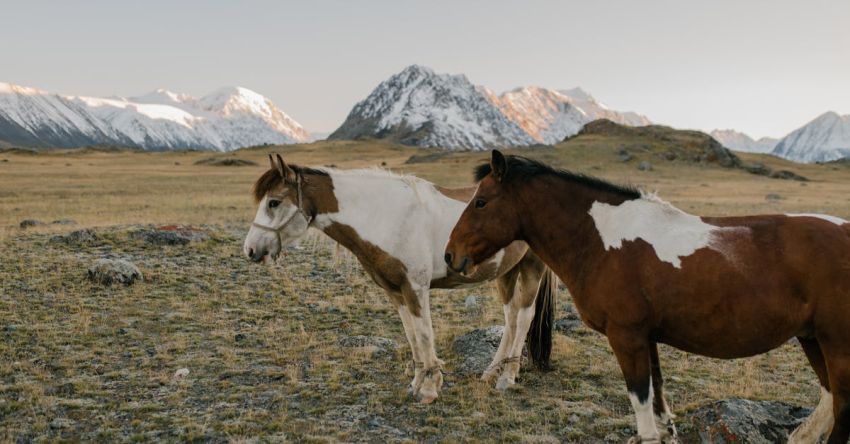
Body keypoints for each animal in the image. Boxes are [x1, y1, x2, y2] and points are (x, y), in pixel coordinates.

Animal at [240, 154, 556, 404]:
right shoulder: (395, 291)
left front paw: (429, 388)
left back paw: (507, 378)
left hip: (531, 267)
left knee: (523, 317)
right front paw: (417, 383)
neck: (386, 216)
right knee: (510, 317)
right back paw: (491, 372)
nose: (251, 249)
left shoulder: (415, 288)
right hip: (506, 270)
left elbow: (425, 334)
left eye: (274, 202)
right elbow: (411, 334)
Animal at [444, 151, 848, 442]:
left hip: (835, 342)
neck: (600, 240)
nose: (450, 255)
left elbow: (640, 400)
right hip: (812, 338)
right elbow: (657, 398)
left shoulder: (627, 336)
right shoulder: (647, 337)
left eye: (481, 202)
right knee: (829, 400)